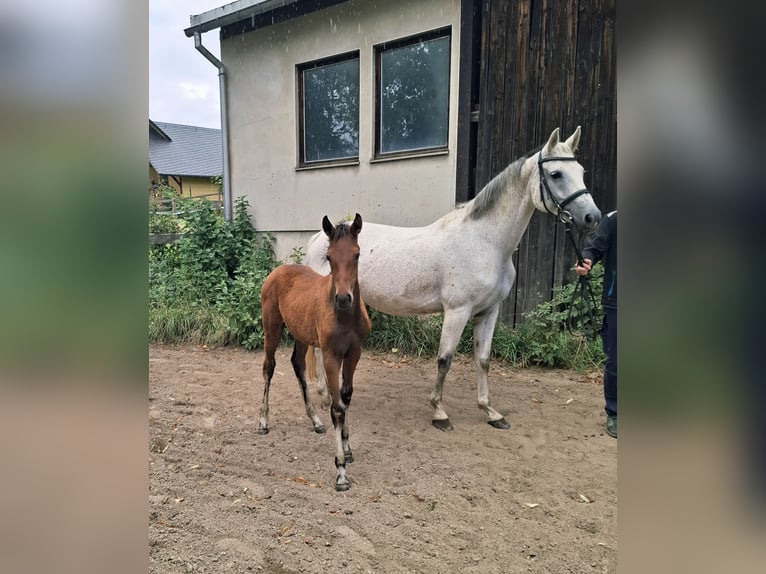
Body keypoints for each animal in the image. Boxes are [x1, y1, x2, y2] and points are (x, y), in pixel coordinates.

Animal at [259, 213, 371, 491]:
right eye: (329, 257)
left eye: (357, 254)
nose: (343, 298)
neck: (344, 317)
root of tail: (278, 270)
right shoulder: (331, 356)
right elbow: (337, 407)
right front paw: (340, 471)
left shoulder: (354, 354)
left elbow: (346, 397)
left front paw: (348, 449)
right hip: (271, 328)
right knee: (268, 368)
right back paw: (263, 422)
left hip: (300, 334)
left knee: (297, 365)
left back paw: (316, 421)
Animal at [304, 126, 600, 431]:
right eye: (556, 174)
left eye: (581, 171)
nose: (592, 217)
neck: (484, 242)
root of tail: (319, 237)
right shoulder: (458, 311)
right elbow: (444, 360)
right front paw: (439, 413)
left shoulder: (488, 311)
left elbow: (483, 360)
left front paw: (490, 411)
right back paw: (325, 399)